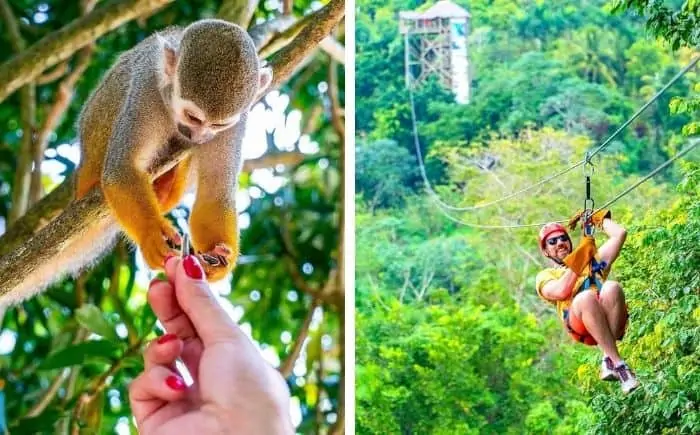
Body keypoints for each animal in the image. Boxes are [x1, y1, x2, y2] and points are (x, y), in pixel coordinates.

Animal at [72, 19, 270, 282]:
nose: (198, 136)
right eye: (193, 117)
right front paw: (151, 234)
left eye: (218, 125)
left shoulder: (237, 121)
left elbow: (215, 191)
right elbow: (122, 168)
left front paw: (218, 260)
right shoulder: (146, 87)